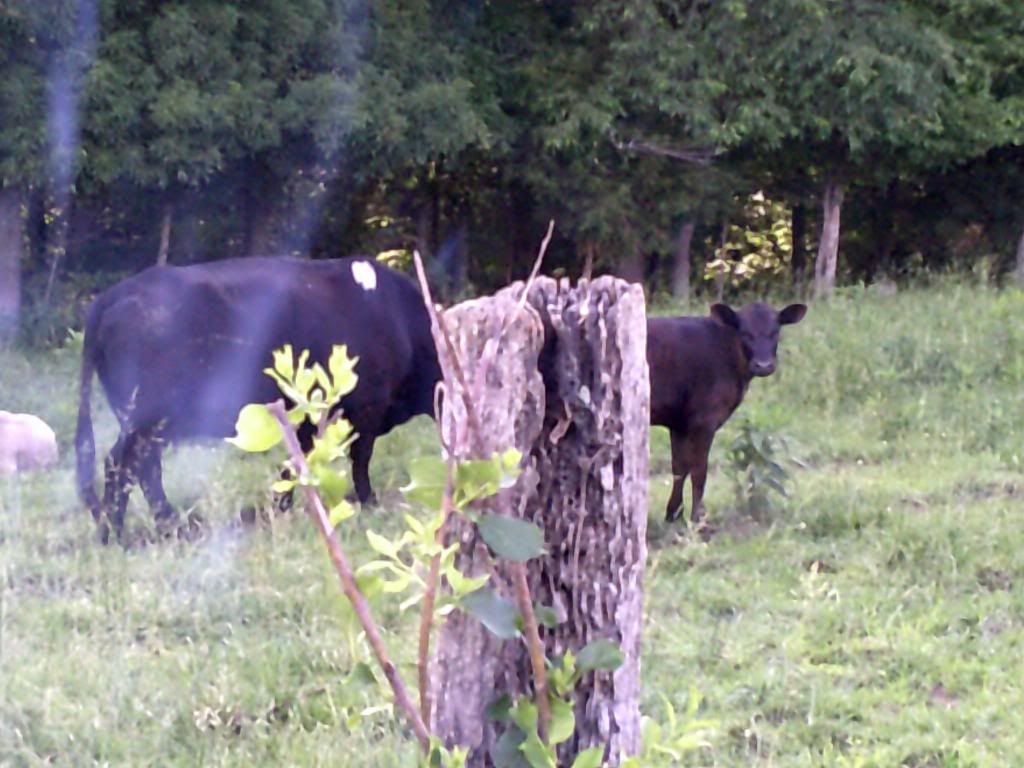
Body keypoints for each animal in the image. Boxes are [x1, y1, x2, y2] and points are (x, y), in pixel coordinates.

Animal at [75, 256, 441, 543]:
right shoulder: (368, 408)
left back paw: (167, 526)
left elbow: (297, 461)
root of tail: (111, 296)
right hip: (146, 416)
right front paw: (368, 501)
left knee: (145, 468)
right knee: (121, 464)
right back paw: (117, 533)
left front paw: (283, 506)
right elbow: (360, 461)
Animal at [647, 301, 807, 526]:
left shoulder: (679, 422)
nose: (763, 365)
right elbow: (699, 470)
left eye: (775, 331)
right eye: (745, 333)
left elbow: (679, 467)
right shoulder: (704, 420)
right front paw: (698, 519)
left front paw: (674, 515)